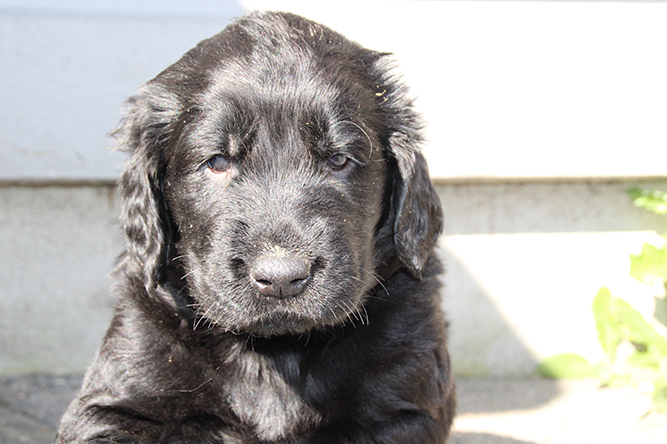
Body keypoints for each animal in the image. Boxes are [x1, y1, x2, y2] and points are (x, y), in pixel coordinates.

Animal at [55, 11, 455, 444]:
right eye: (217, 161)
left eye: (338, 159)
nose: (282, 278)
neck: (276, 352)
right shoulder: (115, 401)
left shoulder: (402, 407)